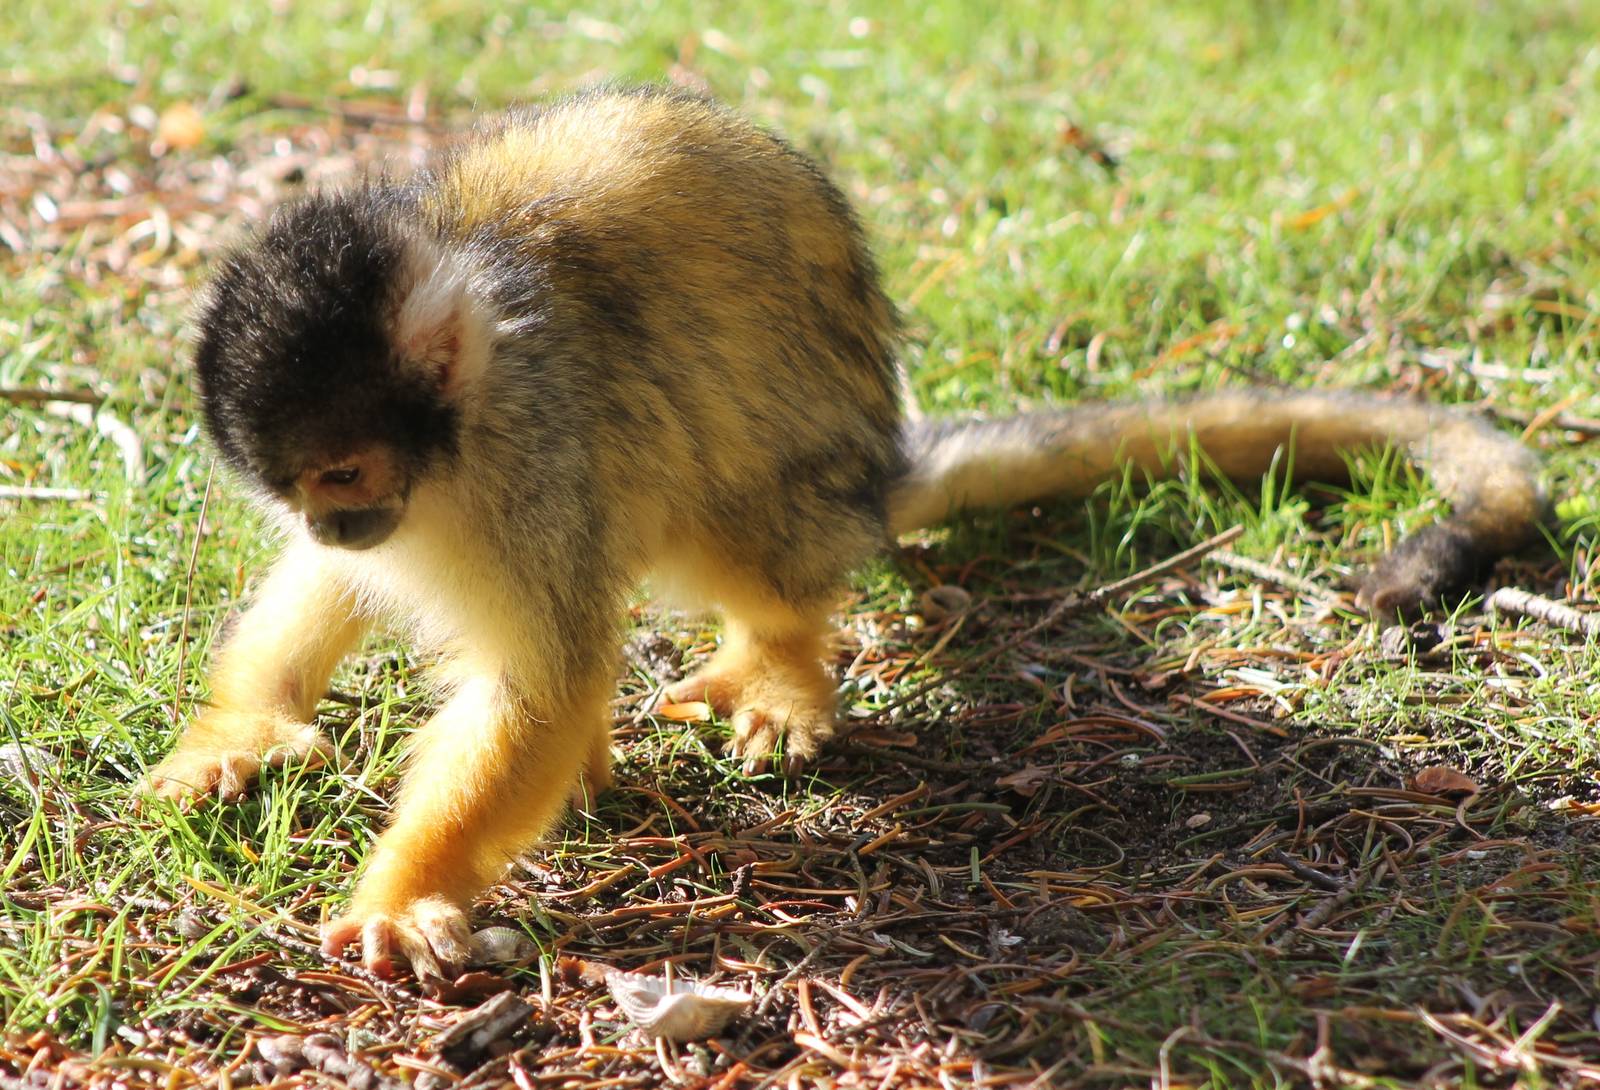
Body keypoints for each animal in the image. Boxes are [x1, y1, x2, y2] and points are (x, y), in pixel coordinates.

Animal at [142, 84, 1546, 979]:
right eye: (303, 490)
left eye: (345, 468)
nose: (348, 518)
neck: (462, 433)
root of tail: (880, 460)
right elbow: (334, 594)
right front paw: (241, 733)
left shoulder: (531, 458)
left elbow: (539, 677)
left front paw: (405, 891)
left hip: (807, 478)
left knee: (729, 515)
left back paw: (779, 660)